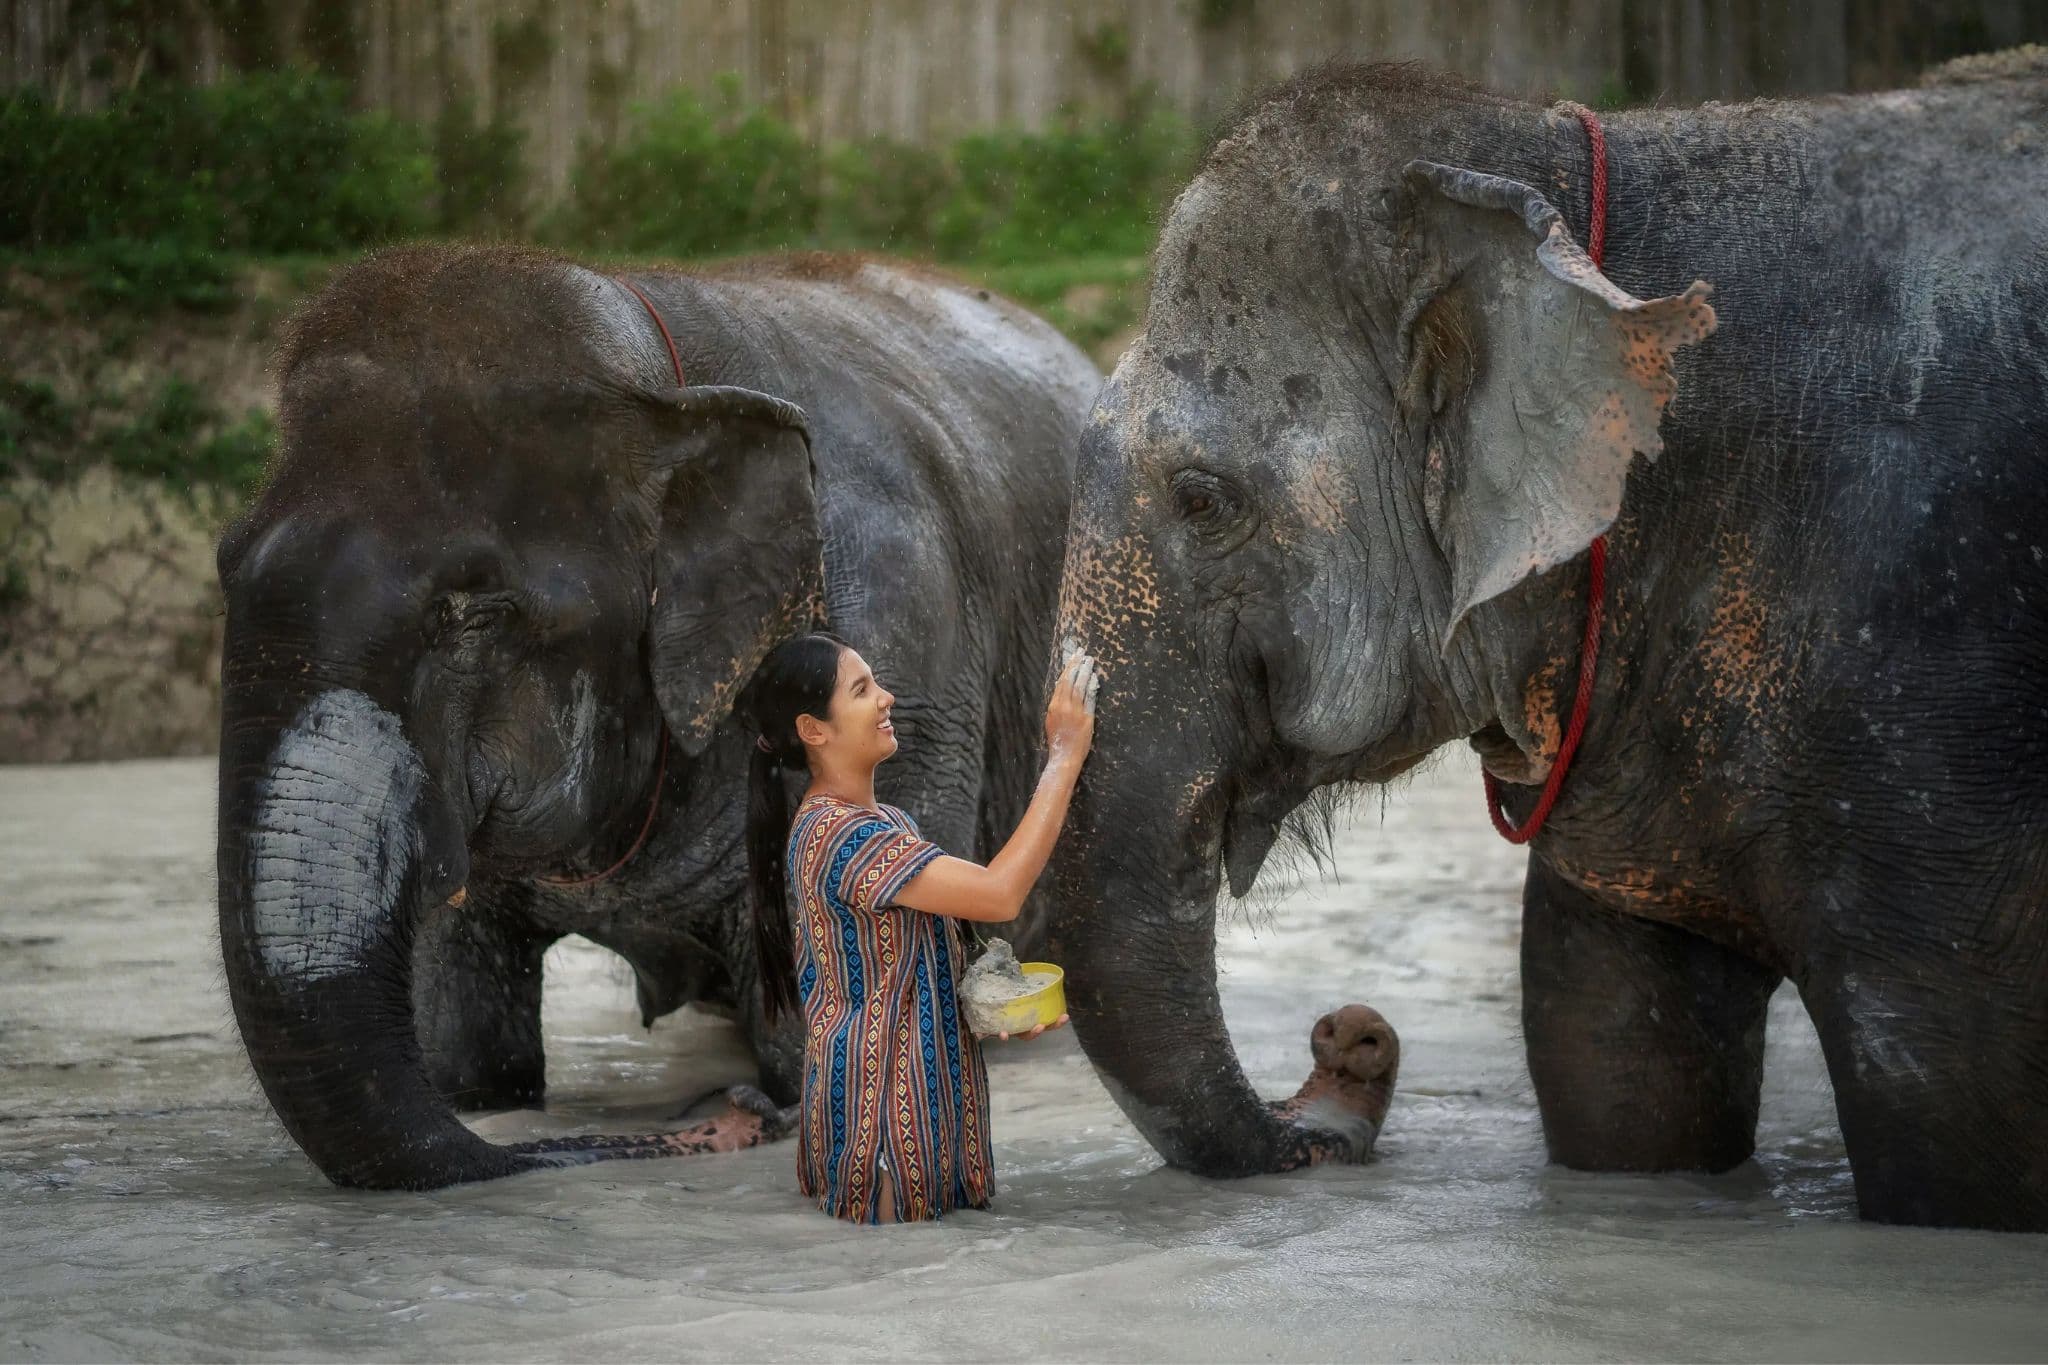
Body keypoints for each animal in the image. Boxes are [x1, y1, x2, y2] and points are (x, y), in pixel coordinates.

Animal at [214, 245, 1099, 1190]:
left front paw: (777, 1094)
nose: (727, 1118)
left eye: (474, 610)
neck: (652, 373)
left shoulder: (906, 646)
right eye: (226, 565)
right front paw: (487, 1093)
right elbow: (469, 1053)